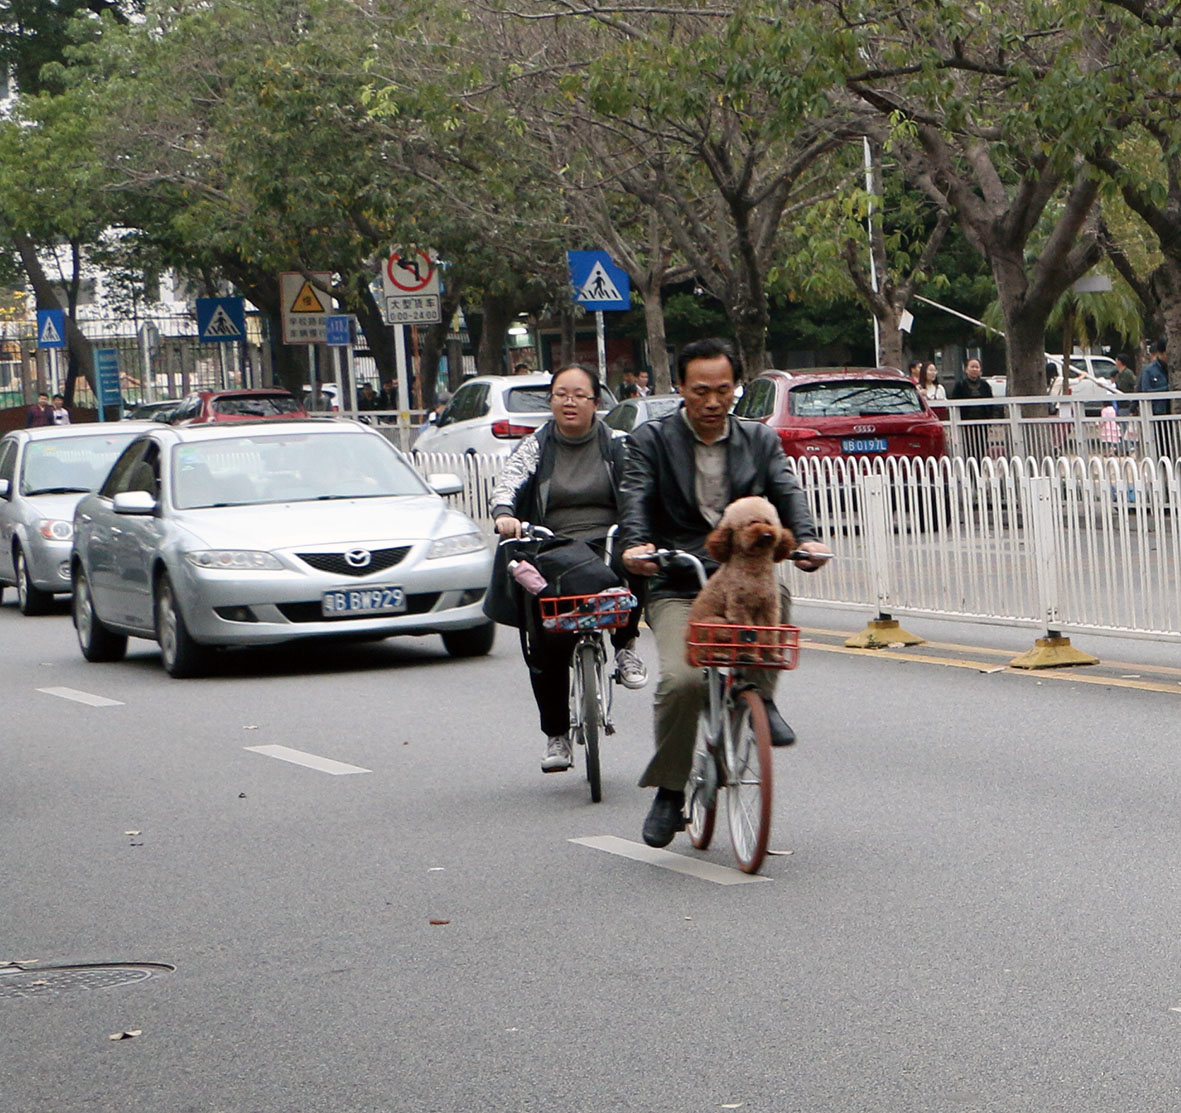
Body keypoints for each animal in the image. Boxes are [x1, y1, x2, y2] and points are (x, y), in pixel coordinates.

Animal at [689, 496, 798, 661]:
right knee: (707, 649)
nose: (767, 535)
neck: (754, 572)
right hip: (719, 624)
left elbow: (768, 632)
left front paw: (771, 654)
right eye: (752, 522)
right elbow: (747, 632)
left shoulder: (768, 607)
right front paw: (752, 654)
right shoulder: (739, 608)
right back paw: (722, 654)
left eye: (768, 522)